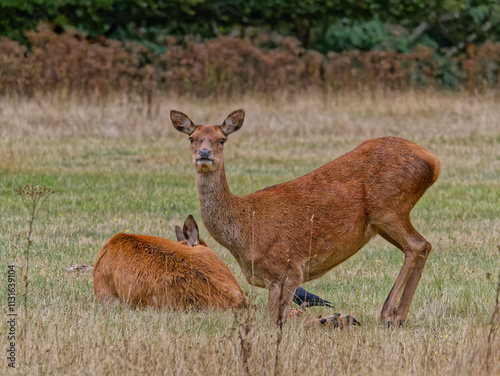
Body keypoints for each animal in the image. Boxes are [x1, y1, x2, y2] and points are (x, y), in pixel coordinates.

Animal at [172, 108, 442, 326]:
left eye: (222, 139)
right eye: (192, 138)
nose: (204, 153)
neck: (242, 231)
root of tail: (435, 162)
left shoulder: (286, 269)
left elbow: (272, 321)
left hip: (389, 208)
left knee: (418, 245)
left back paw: (390, 315)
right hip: (380, 223)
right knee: (421, 246)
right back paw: (397, 315)